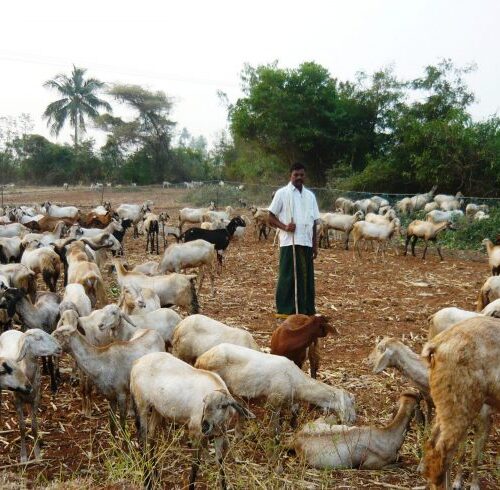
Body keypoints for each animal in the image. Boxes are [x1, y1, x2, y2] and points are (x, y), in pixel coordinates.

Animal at [131, 352, 254, 490]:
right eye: (204, 403)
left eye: (222, 406)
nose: (205, 426)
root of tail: (137, 362)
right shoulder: (195, 432)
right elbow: (196, 464)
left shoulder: (219, 434)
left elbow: (220, 462)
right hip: (141, 404)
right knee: (142, 439)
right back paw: (147, 480)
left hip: (157, 409)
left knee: (151, 436)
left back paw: (155, 473)